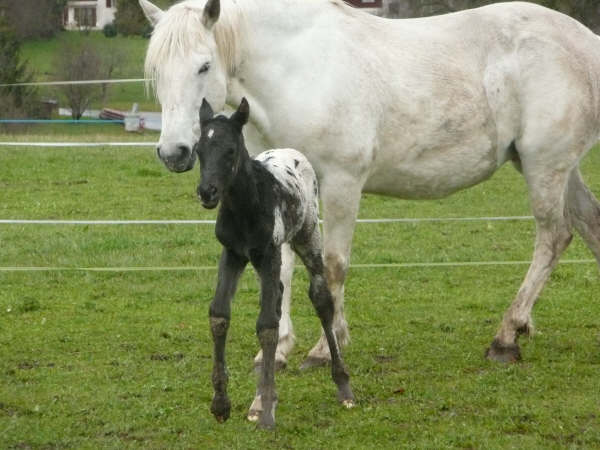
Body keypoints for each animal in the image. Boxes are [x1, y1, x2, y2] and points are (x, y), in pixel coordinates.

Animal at [141, 0, 600, 372]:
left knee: (554, 236)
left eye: (203, 66)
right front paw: (279, 349)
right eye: (157, 72)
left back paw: (506, 336)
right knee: (587, 226)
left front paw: (324, 349)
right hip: (554, 167)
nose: (174, 152)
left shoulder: (342, 184)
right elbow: (283, 267)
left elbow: (333, 263)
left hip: (545, 166)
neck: (299, 72)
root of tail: (587, 41)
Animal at [195, 97, 354, 428]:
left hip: (306, 239)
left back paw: (343, 385)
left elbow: (267, 324)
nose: (207, 192)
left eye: (230, 150)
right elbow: (219, 315)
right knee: (280, 297)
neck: (246, 208)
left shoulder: (268, 253)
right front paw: (221, 404)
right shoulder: (232, 253)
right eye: (199, 150)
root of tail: (291, 151)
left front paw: (265, 409)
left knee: (321, 300)